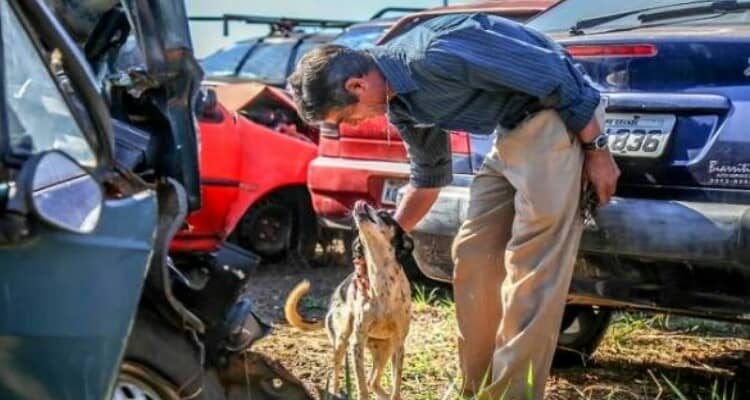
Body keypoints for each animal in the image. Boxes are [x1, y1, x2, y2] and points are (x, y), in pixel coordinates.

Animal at [284, 202, 414, 400]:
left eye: (385, 214)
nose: (361, 202)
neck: (381, 281)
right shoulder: (356, 345)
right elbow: (361, 387)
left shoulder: (399, 345)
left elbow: (396, 387)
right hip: (341, 342)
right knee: (337, 376)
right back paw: (334, 392)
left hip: (385, 350)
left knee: (373, 382)